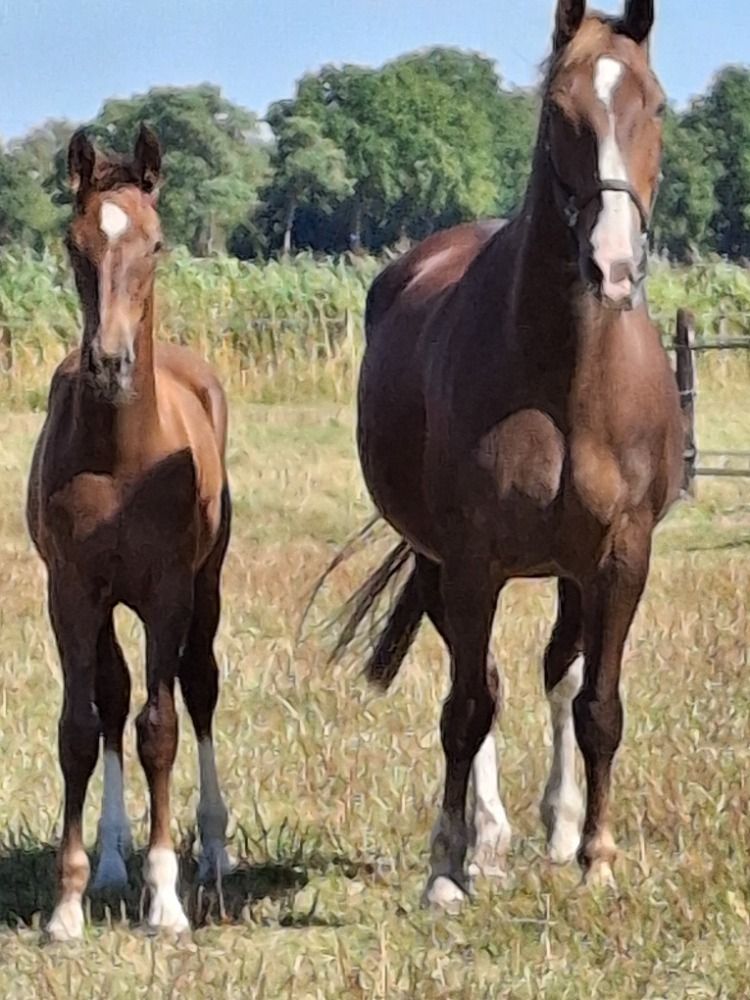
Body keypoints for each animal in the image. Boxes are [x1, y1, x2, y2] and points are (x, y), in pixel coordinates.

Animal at [26, 125, 232, 940]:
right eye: (75, 243)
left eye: (157, 243)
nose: (109, 364)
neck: (121, 457)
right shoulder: (72, 591)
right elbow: (81, 728)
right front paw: (67, 903)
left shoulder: (168, 591)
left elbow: (161, 727)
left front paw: (166, 900)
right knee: (111, 698)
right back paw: (113, 858)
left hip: (207, 585)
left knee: (200, 688)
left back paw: (214, 849)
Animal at [336, 0, 683, 909]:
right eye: (559, 112)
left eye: (657, 106)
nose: (613, 264)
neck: (565, 378)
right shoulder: (470, 560)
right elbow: (465, 708)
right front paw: (447, 869)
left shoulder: (621, 557)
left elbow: (598, 703)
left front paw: (596, 855)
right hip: (439, 563)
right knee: (481, 682)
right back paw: (482, 839)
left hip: (566, 568)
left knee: (554, 671)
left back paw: (555, 828)